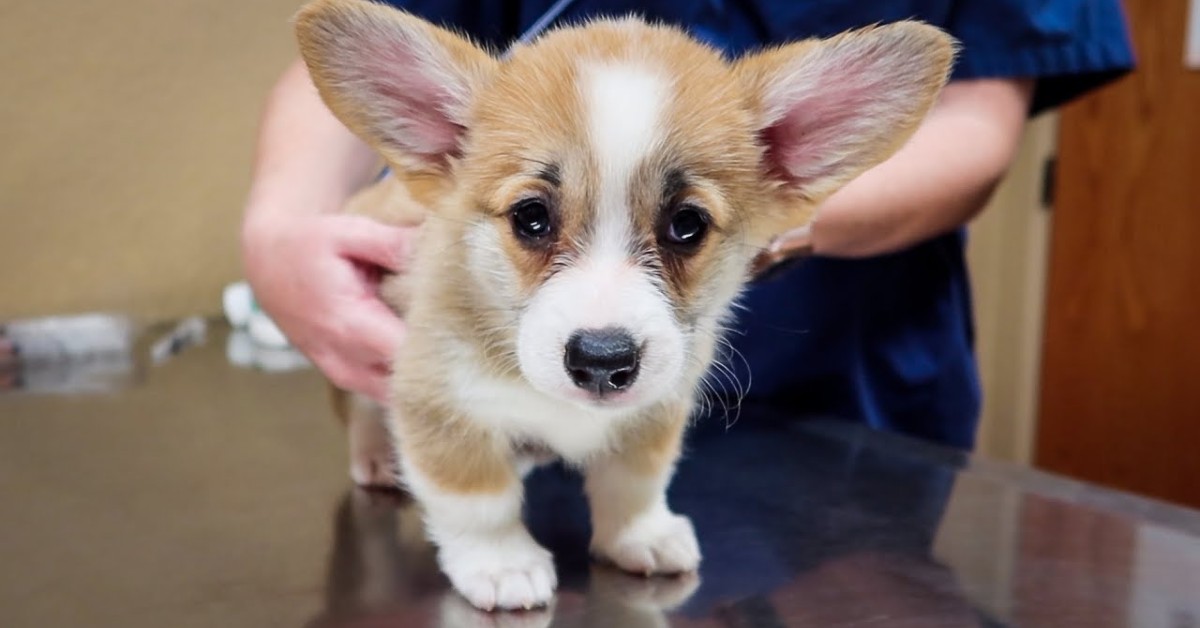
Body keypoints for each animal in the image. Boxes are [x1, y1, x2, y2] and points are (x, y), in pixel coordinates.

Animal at [295, 0, 950, 612]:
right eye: (531, 217)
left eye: (687, 225)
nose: (602, 361)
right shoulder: (439, 404)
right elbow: (478, 499)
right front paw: (502, 564)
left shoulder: (656, 411)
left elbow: (634, 485)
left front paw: (641, 537)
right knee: (363, 414)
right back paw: (377, 461)